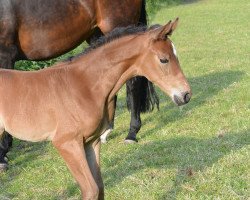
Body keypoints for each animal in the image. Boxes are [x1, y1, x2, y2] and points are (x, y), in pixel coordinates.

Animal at [0, 0, 159, 170]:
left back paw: (131, 134)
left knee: (132, 81)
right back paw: (105, 133)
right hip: (96, 34)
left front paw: (2, 155)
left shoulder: (5, 56)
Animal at [0, 18, 191, 198]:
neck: (84, 85)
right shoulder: (66, 143)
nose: (186, 95)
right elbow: (91, 190)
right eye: (164, 59)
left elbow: (99, 187)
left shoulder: (91, 141)